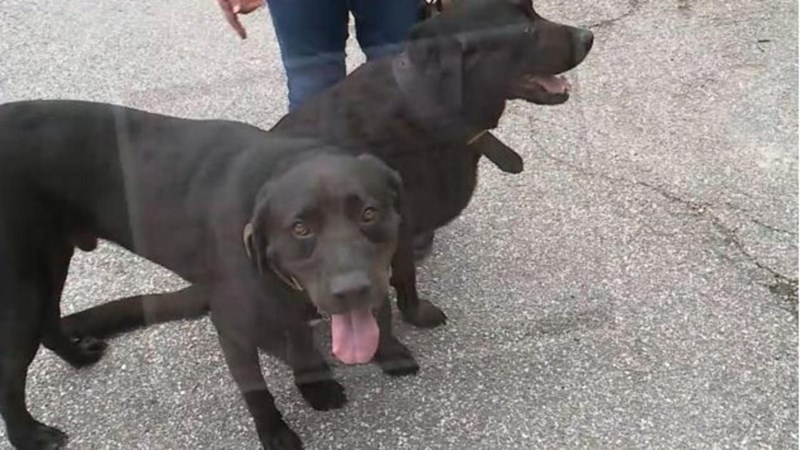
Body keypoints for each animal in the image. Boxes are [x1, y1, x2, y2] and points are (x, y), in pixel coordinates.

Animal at [0, 100, 422, 449]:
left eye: (368, 213)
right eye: (300, 228)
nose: (351, 290)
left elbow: (315, 338)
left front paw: (342, 374)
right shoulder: (234, 325)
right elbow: (257, 389)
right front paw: (277, 432)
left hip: (50, 260)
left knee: (49, 323)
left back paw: (77, 357)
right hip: (21, 290)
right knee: (10, 374)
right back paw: (29, 436)